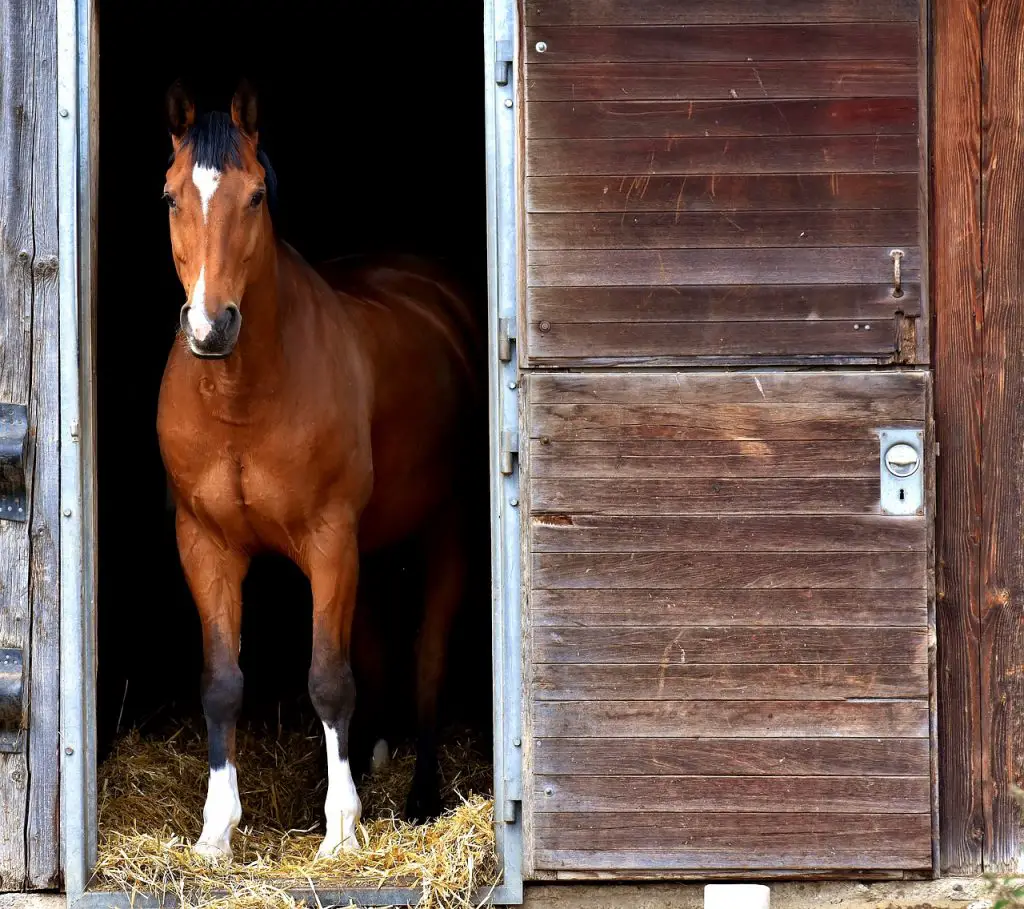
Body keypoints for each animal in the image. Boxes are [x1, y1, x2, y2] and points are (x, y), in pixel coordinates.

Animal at [155, 81, 483, 863]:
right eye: (171, 195)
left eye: (255, 196)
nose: (210, 327)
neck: (243, 397)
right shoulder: (205, 544)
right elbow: (222, 682)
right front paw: (216, 830)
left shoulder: (330, 541)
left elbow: (330, 679)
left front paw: (340, 829)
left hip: (445, 529)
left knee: (427, 655)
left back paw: (420, 795)